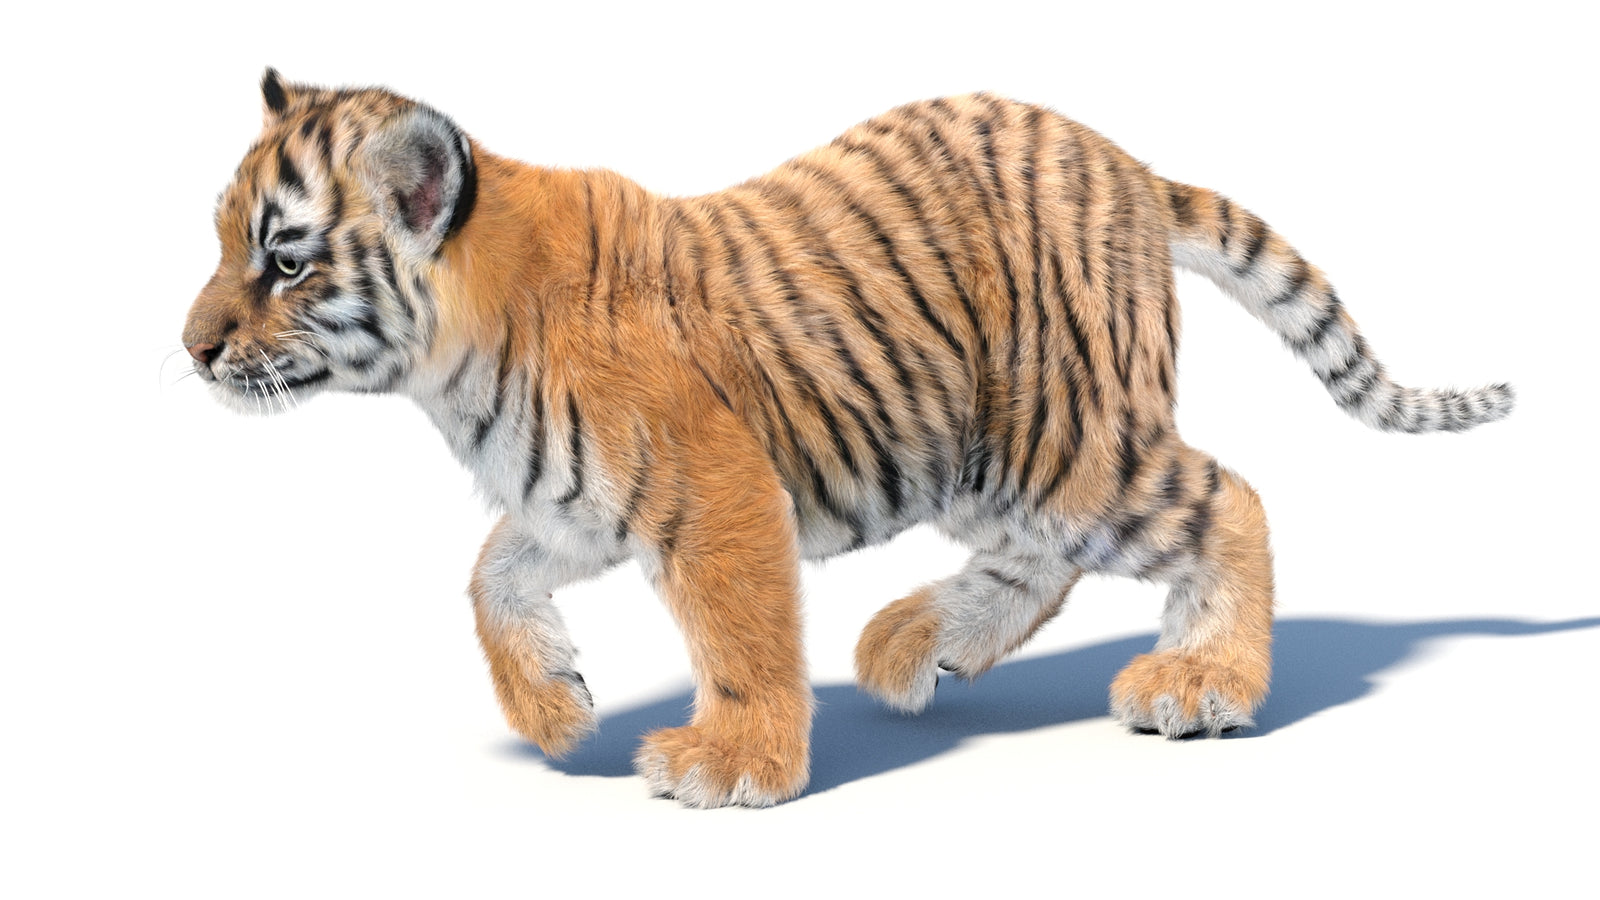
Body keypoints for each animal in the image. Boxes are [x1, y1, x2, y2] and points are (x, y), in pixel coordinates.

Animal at [182, 69, 1513, 808]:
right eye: (223, 240)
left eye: (283, 261)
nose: (190, 347)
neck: (451, 366)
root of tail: (1124, 165)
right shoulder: (574, 502)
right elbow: (487, 578)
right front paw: (555, 709)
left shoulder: (713, 486)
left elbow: (741, 634)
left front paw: (734, 767)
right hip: (980, 451)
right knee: (1046, 563)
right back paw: (919, 643)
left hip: (1065, 442)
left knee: (1228, 499)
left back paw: (1203, 682)